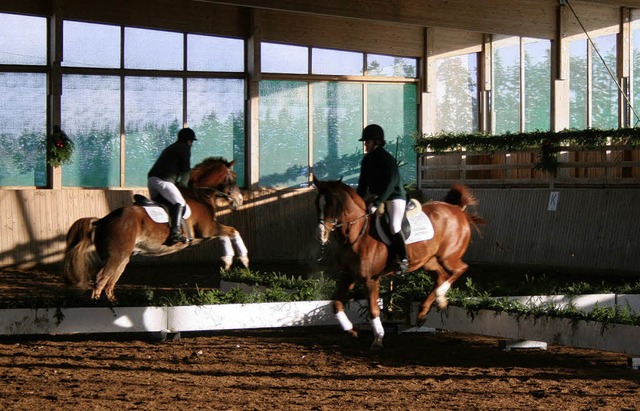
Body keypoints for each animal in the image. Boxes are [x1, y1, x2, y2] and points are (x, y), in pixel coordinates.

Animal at [62, 156, 248, 300]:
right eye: (234, 176)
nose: (239, 201)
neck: (199, 195)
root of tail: (101, 221)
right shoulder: (208, 229)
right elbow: (233, 230)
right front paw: (242, 259)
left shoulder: (209, 232)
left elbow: (226, 234)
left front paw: (227, 260)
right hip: (116, 256)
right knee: (101, 279)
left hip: (122, 257)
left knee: (110, 282)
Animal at [312, 177, 484, 350]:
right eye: (317, 203)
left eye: (332, 204)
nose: (320, 234)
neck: (356, 235)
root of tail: (457, 209)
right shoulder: (349, 276)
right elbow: (336, 304)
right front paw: (351, 330)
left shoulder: (370, 279)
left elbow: (373, 310)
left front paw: (378, 339)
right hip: (428, 261)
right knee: (440, 276)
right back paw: (423, 312)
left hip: (448, 257)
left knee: (460, 269)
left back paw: (440, 298)